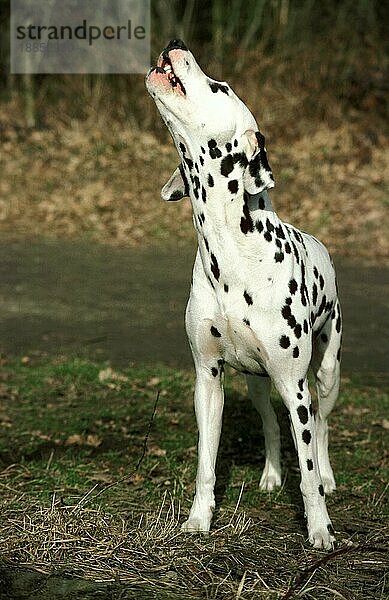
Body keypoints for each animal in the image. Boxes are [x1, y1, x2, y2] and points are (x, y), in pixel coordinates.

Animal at [146, 39, 342, 552]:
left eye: (221, 86)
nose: (175, 43)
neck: (232, 250)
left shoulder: (295, 387)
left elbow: (307, 470)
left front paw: (319, 528)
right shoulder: (207, 379)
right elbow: (206, 462)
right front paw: (198, 518)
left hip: (325, 374)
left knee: (322, 427)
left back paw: (330, 477)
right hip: (258, 383)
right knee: (271, 424)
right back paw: (272, 474)